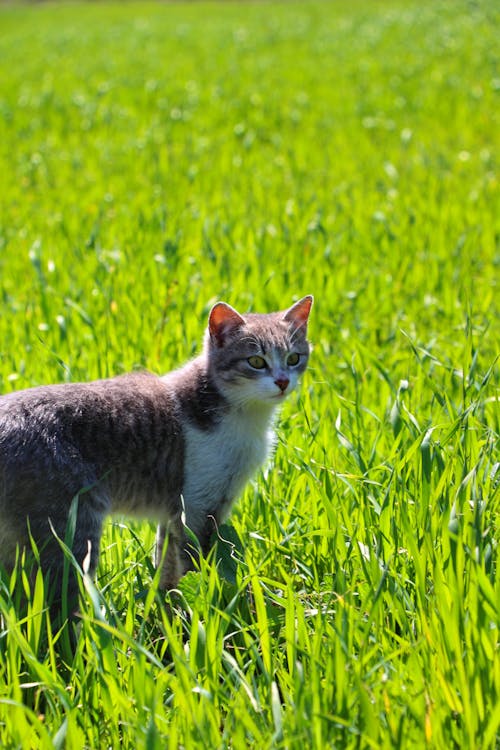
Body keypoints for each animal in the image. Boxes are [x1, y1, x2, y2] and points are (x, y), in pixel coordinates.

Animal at [0, 294, 312, 612]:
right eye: (256, 361)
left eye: (294, 358)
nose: (283, 381)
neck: (244, 414)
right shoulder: (198, 506)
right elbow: (196, 562)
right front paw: (207, 608)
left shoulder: (178, 511)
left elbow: (167, 561)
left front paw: (168, 607)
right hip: (70, 530)